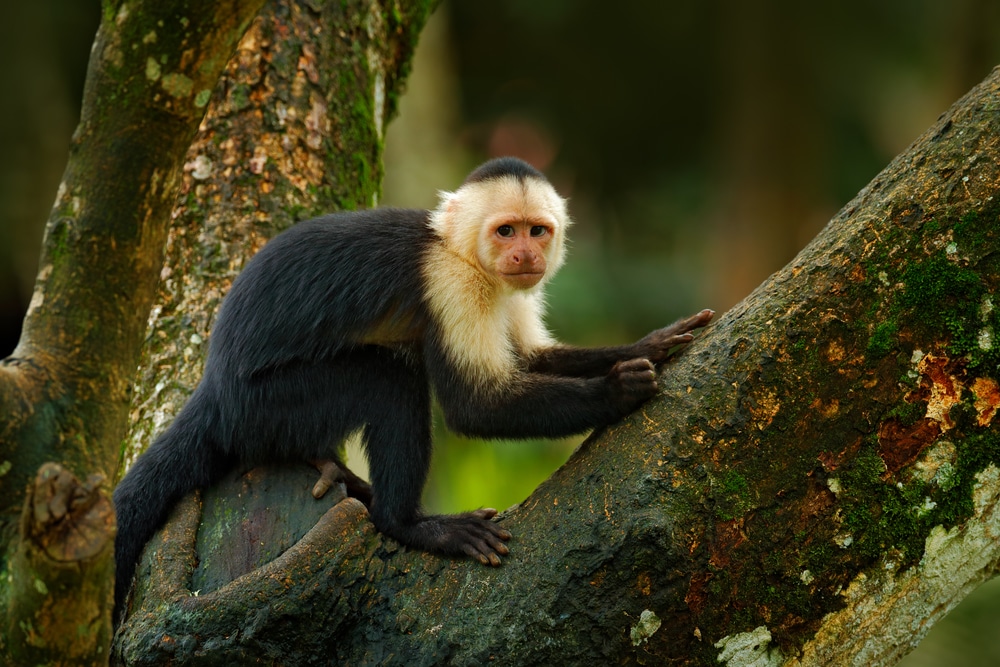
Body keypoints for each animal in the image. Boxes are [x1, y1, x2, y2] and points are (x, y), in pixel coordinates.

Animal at [113, 155, 716, 620]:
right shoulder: (451, 285)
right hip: (262, 403)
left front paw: (652, 343)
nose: (525, 255)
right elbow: (476, 408)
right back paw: (406, 523)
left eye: (537, 230)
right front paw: (616, 391)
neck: (457, 249)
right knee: (391, 382)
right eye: (506, 230)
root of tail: (213, 388)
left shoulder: (508, 288)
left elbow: (533, 357)